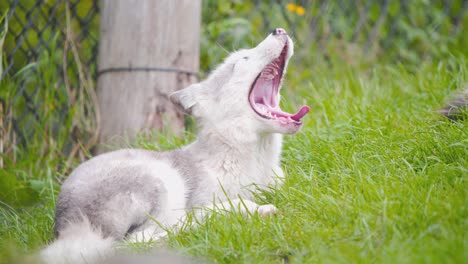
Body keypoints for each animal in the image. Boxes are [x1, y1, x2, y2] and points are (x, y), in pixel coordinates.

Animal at [41, 27, 310, 262]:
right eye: (241, 60)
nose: (278, 30)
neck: (256, 165)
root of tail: (67, 225)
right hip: (162, 182)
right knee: (143, 239)